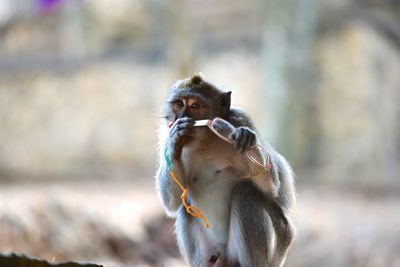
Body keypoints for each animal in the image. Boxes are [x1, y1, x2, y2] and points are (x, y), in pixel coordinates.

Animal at [155, 74, 296, 267]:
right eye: (179, 104)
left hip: (277, 246)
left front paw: (245, 137)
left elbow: (272, 187)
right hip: (213, 251)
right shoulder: (165, 131)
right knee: (184, 208)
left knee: (245, 192)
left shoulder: (240, 118)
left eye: (195, 105)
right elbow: (172, 203)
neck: (206, 139)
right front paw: (175, 140)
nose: (181, 117)